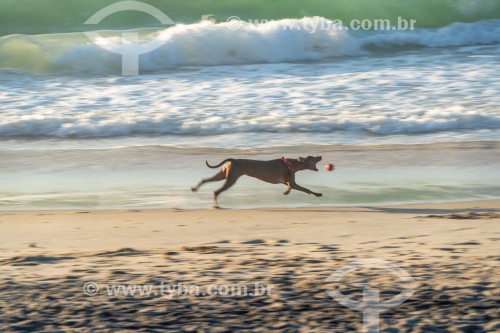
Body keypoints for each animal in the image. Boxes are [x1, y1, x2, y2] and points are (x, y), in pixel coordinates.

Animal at [191, 154, 324, 206]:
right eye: (314, 158)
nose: (321, 156)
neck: (292, 164)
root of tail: (233, 160)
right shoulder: (292, 182)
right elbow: (306, 189)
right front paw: (318, 194)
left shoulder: (289, 181)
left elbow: (290, 187)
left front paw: (286, 192)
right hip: (231, 179)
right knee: (216, 191)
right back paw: (216, 204)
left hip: (223, 175)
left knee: (205, 180)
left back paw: (194, 188)